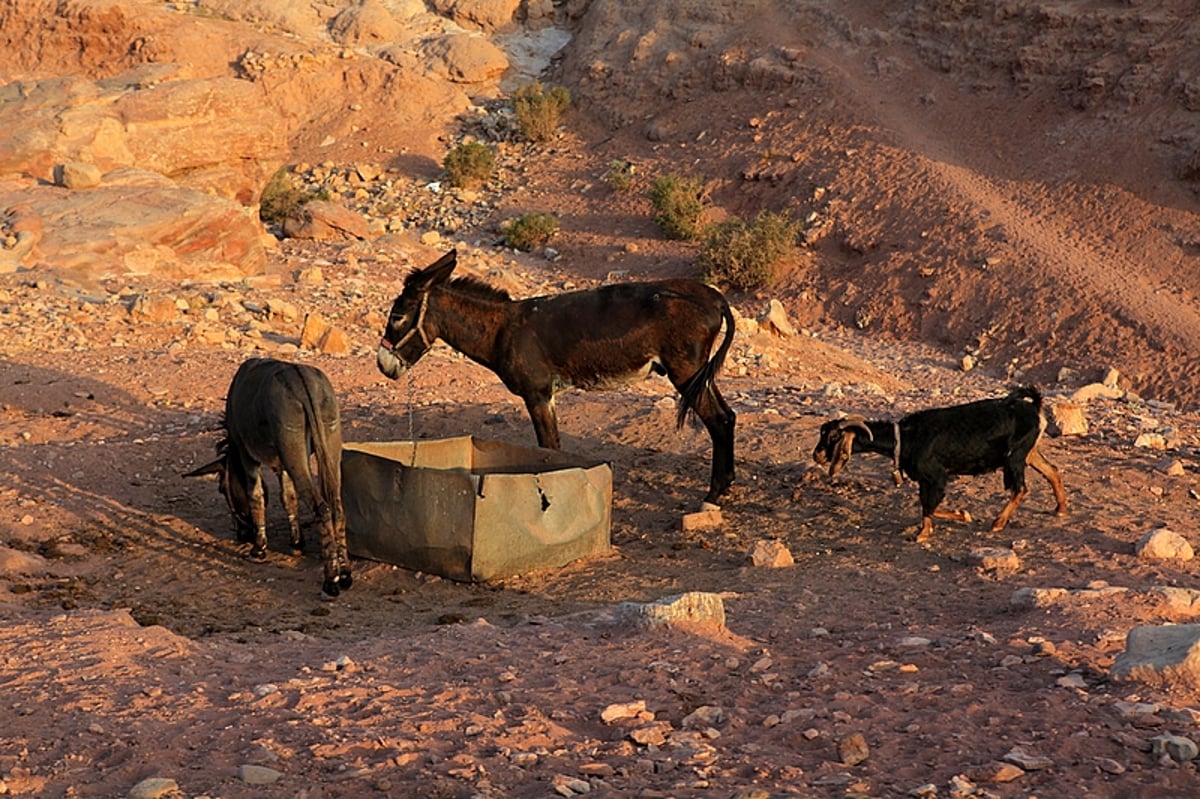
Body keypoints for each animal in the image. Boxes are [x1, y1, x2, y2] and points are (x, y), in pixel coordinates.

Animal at [816, 386, 1070, 542]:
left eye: (833, 437)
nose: (816, 455)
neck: (905, 437)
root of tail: (1035, 406)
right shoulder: (924, 481)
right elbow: (925, 505)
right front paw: (924, 532)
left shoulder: (937, 476)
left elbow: (930, 506)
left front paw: (962, 515)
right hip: (1028, 452)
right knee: (1052, 471)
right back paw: (1060, 509)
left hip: (1015, 456)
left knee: (1020, 488)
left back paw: (998, 522)